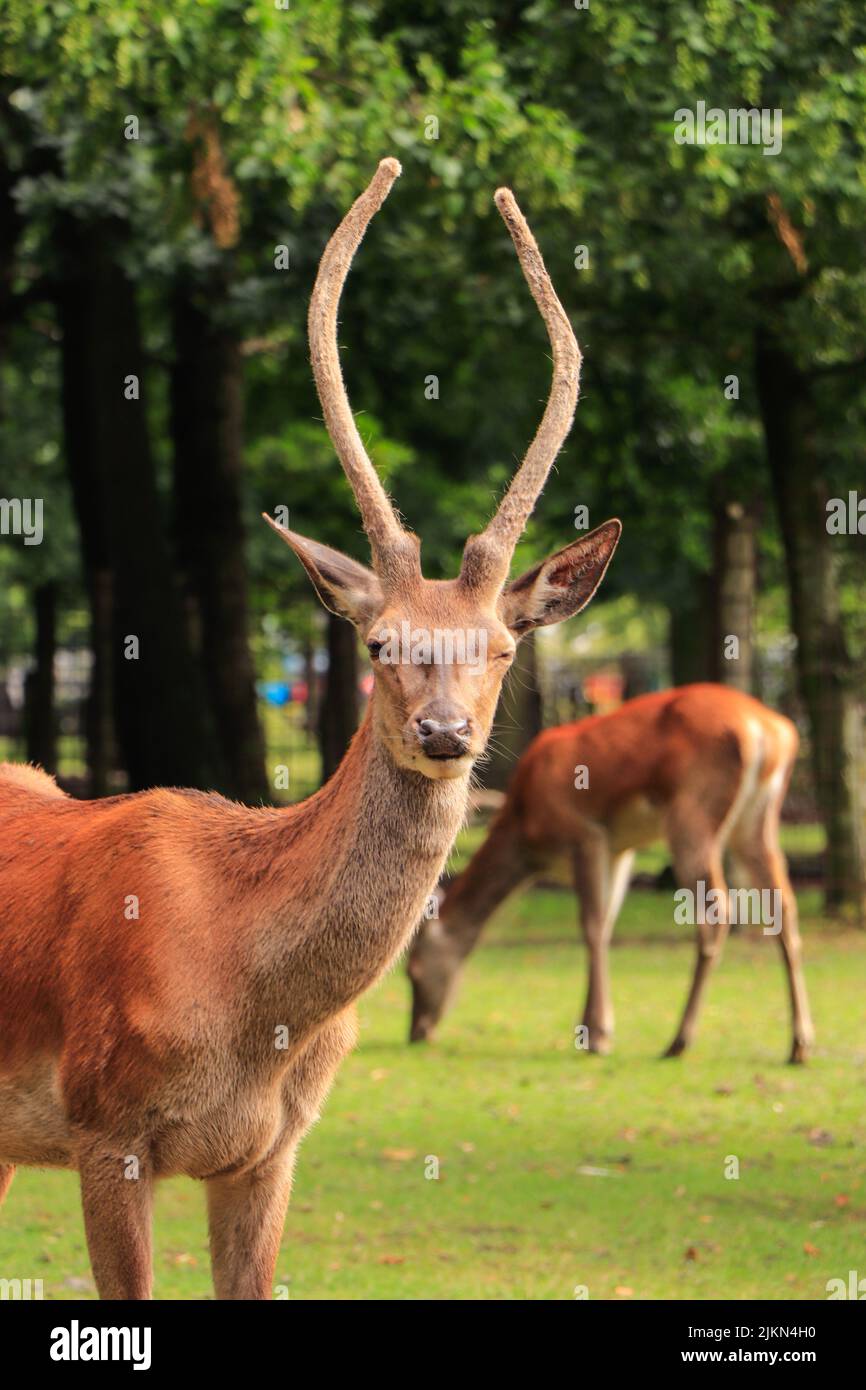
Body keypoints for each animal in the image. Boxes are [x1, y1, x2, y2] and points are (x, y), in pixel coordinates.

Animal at [0, 162, 622, 1301]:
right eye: (377, 641)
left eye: (500, 647)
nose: (442, 731)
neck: (261, 1012)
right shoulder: (103, 1124)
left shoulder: (273, 1150)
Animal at [408, 683, 817, 1061]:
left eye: (412, 970)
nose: (417, 1032)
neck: (527, 830)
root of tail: (769, 731)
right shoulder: (621, 848)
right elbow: (606, 923)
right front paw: (599, 1028)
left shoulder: (585, 833)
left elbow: (591, 926)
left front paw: (596, 1035)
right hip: (756, 819)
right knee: (784, 906)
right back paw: (800, 1045)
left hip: (691, 811)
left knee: (717, 912)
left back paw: (679, 1040)